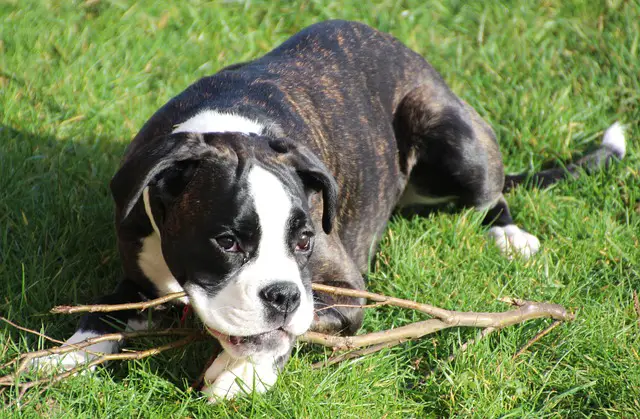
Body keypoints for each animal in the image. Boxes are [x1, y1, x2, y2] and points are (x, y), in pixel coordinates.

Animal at [35, 19, 624, 400]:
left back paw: (508, 235)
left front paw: (240, 374)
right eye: (227, 242)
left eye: (304, 241)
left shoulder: (343, 292)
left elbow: (288, 334)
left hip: (451, 134)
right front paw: (57, 357)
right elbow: (99, 317)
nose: (282, 294)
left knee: (491, 193)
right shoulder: (137, 279)